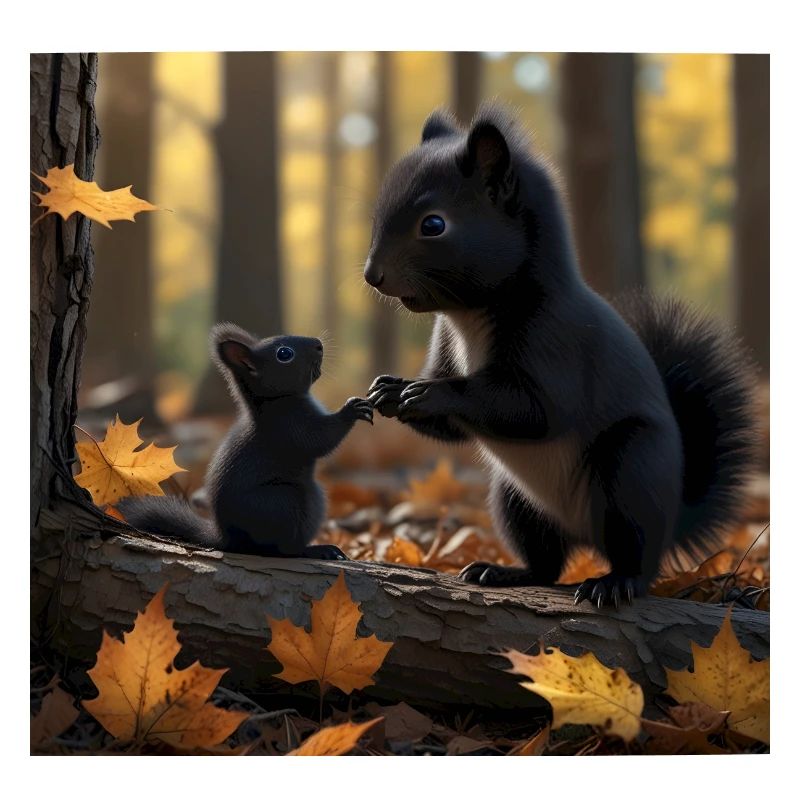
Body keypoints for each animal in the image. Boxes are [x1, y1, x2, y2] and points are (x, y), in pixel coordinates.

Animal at [118, 323, 373, 559]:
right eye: (284, 354)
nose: (319, 344)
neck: (273, 401)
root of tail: (226, 539)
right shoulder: (289, 426)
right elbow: (320, 439)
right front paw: (352, 409)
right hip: (283, 504)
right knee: (281, 549)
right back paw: (316, 550)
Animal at [364, 105, 758, 606]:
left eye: (433, 224)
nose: (372, 275)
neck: (470, 316)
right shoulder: (446, 345)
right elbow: (450, 430)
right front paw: (390, 389)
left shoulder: (556, 343)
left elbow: (535, 411)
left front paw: (430, 394)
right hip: (515, 501)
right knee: (546, 563)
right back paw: (504, 571)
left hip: (630, 471)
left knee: (636, 556)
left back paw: (613, 583)